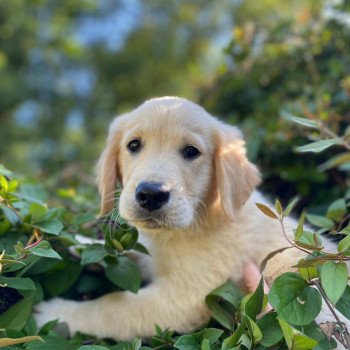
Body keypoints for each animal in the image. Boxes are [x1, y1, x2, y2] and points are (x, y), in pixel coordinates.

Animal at [34, 96, 346, 342]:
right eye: (134, 145)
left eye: (191, 152)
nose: (151, 194)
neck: (199, 218)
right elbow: (132, 254)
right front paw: (78, 243)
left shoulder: (183, 299)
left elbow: (114, 307)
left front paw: (55, 314)